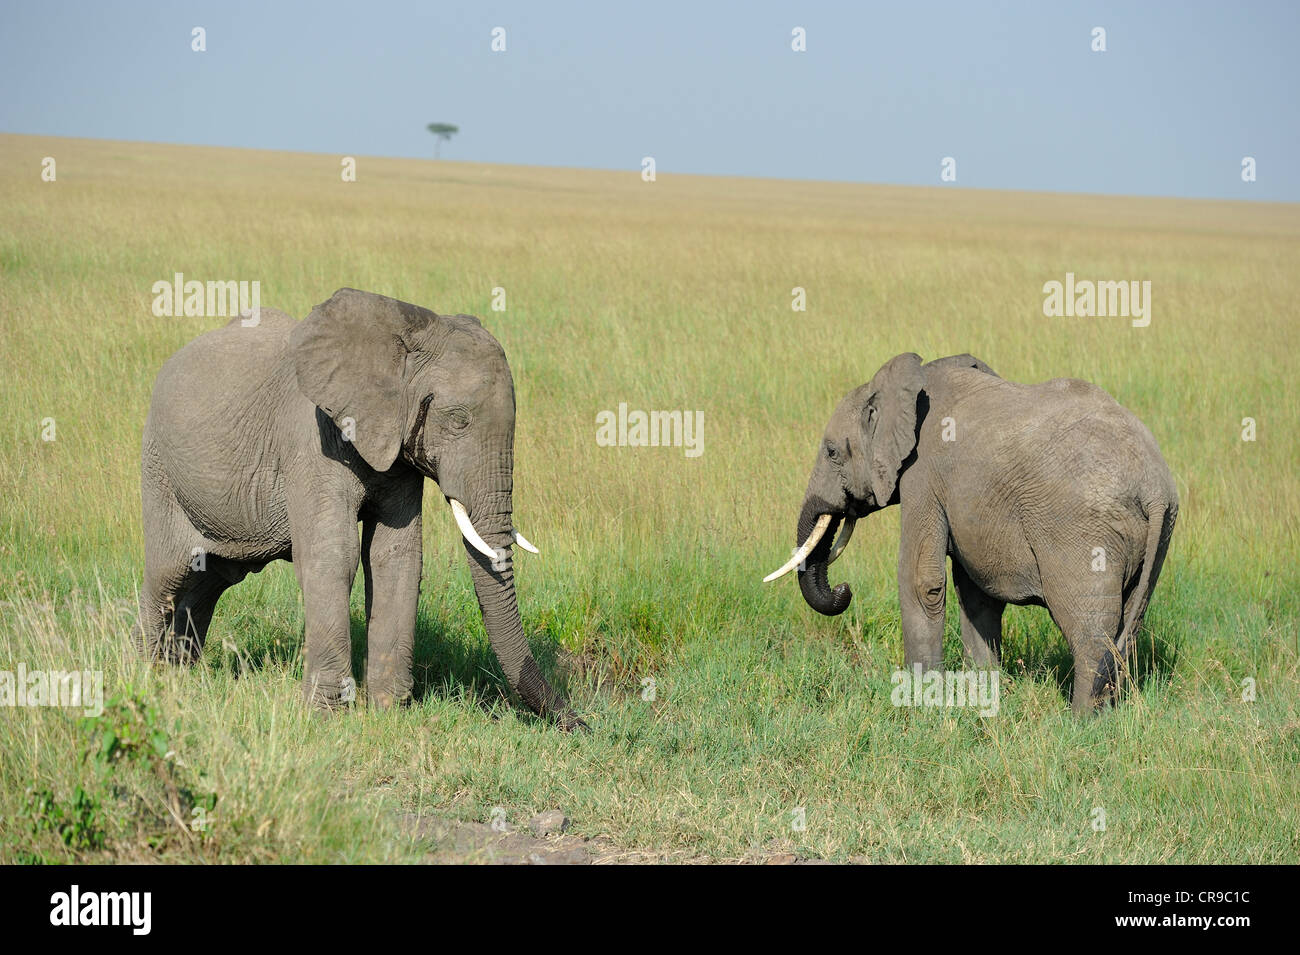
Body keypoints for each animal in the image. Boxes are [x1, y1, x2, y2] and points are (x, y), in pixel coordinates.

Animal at [139, 285, 587, 732]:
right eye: (457, 419)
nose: (582, 724)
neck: (401, 335)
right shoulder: (312, 440)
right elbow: (334, 555)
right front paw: (325, 715)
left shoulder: (399, 448)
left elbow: (396, 556)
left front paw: (389, 710)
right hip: (159, 468)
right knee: (166, 574)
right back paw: (146, 675)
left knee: (209, 579)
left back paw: (182, 674)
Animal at [759, 350, 1180, 712]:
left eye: (832, 452)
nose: (844, 590)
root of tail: (1154, 486)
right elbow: (977, 594)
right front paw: (984, 690)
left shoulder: (923, 474)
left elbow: (921, 580)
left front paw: (921, 698)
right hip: (1155, 538)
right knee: (1130, 622)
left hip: (1082, 531)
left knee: (1090, 632)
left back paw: (1080, 722)